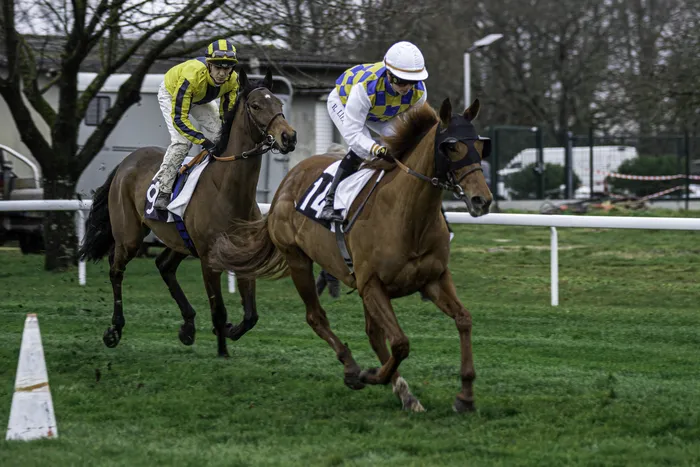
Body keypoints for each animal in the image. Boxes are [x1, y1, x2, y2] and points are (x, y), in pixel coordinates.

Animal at [79, 69, 298, 356]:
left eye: (279, 104)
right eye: (256, 105)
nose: (288, 137)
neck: (228, 191)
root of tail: (127, 162)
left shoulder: (241, 254)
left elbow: (251, 316)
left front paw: (228, 331)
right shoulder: (209, 260)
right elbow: (218, 310)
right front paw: (222, 352)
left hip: (178, 238)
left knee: (164, 266)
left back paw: (188, 326)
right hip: (129, 236)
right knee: (116, 270)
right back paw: (114, 330)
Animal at [213, 98, 492, 414]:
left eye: (480, 146)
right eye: (452, 147)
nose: (482, 200)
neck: (408, 216)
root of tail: (287, 181)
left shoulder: (432, 278)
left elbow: (463, 319)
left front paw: (465, 395)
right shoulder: (371, 284)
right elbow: (400, 343)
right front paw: (369, 375)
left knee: (373, 333)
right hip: (298, 260)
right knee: (316, 317)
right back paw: (353, 368)